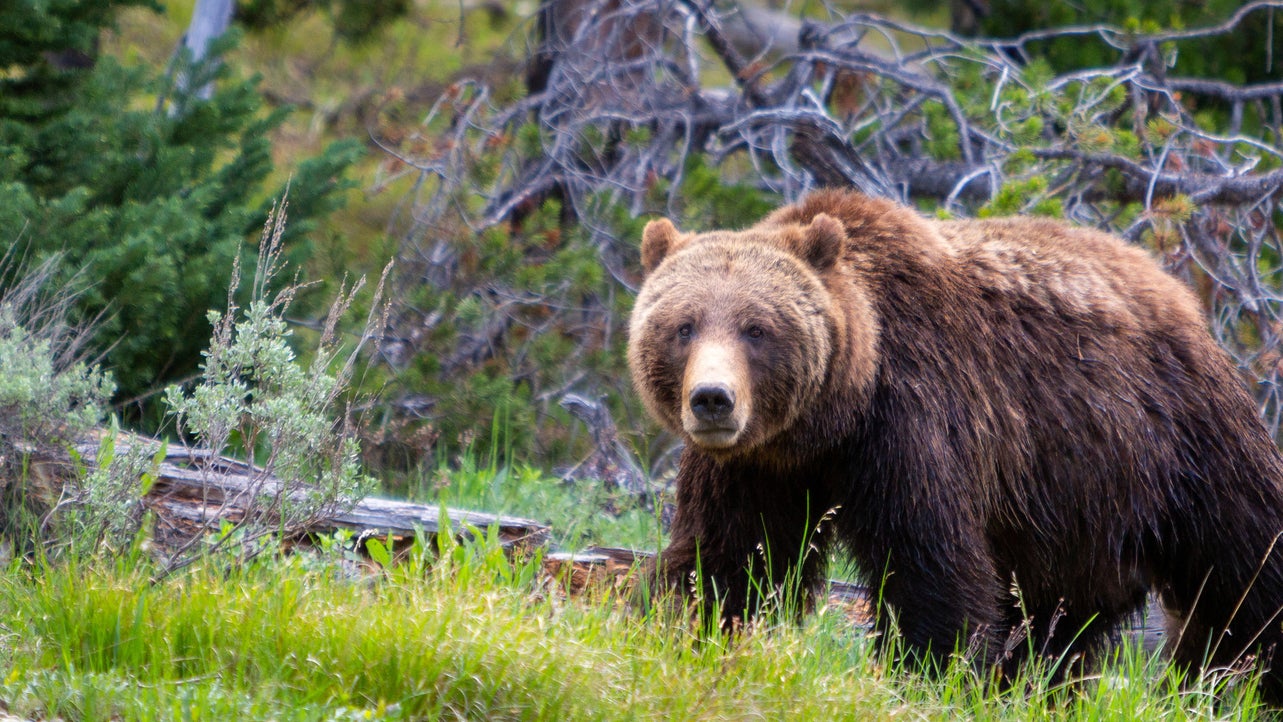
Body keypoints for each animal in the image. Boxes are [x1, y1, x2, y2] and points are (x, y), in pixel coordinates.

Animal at [631, 189, 1283, 697]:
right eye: (683, 325)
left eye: (757, 328)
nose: (713, 399)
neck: (831, 419)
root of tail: (1173, 288)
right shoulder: (754, 469)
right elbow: (729, 560)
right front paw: (693, 634)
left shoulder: (915, 422)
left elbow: (932, 567)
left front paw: (922, 674)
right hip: (1072, 502)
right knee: (1058, 618)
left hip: (1175, 439)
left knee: (1245, 563)